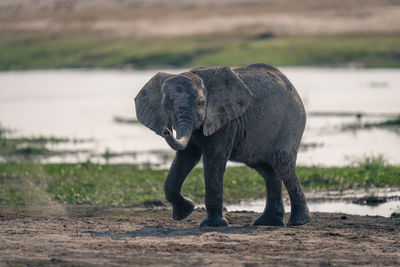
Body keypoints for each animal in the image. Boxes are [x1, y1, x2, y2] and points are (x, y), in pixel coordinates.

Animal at [134, 63, 310, 228]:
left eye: (201, 103)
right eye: (165, 105)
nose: (166, 130)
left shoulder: (224, 120)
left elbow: (213, 159)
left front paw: (212, 224)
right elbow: (185, 157)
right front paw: (184, 212)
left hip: (291, 121)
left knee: (283, 164)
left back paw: (298, 222)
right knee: (267, 171)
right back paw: (268, 222)